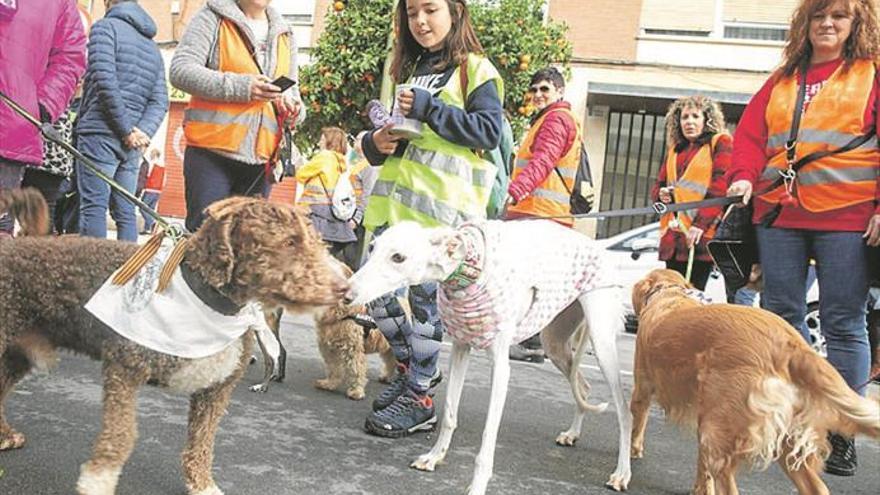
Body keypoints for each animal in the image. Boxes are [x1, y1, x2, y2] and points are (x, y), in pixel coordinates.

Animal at [0, 193, 348, 495]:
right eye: (289, 242)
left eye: (315, 241)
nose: (344, 288)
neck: (209, 300)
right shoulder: (124, 368)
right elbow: (122, 434)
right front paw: (98, 481)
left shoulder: (216, 390)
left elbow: (202, 443)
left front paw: (202, 484)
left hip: (17, 353)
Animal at [312, 262, 396, 402]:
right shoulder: (329, 348)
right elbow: (333, 367)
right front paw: (329, 383)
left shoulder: (353, 348)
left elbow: (356, 369)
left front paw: (356, 391)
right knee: (391, 360)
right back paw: (387, 377)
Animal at [632, 270, 880, 494]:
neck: (668, 294)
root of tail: (790, 343)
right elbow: (703, 470)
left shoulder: (642, 388)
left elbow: (637, 425)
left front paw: (634, 451)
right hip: (780, 438)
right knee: (817, 488)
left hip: (717, 431)